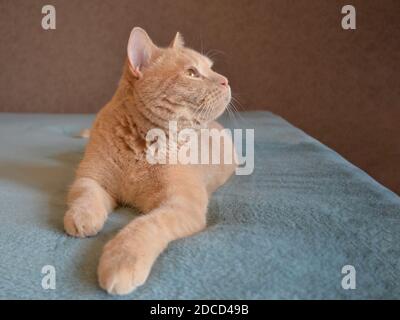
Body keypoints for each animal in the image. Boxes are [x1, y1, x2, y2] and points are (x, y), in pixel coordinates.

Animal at [63, 27, 236, 296]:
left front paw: (121, 260)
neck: (140, 144)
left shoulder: (180, 204)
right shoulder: (91, 177)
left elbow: (144, 226)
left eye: (211, 68)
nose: (225, 80)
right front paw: (83, 217)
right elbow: (86, 196)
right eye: (192, 73)